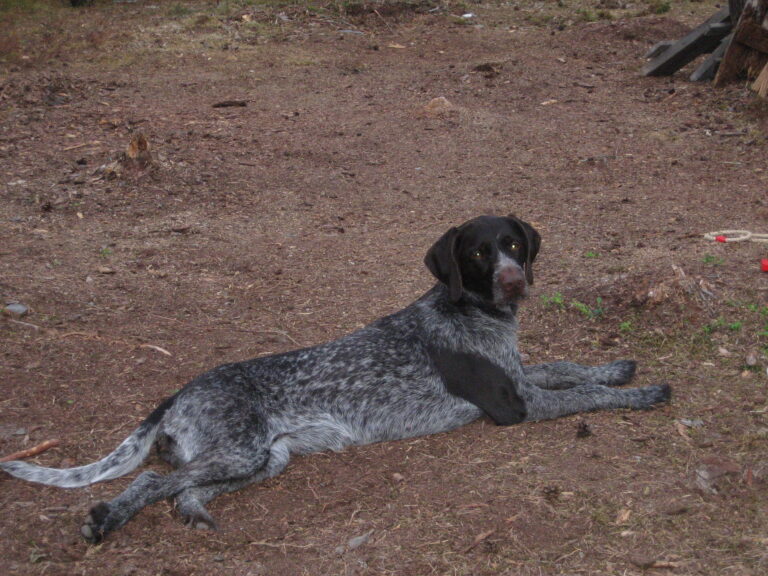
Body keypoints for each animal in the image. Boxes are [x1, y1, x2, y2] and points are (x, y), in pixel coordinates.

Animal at [0, 214, 668, 544]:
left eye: (513, 245)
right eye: (479, 253)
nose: (514, 283)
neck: (470, 312)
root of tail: (180, 392)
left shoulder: (521, 377)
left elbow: (569, 368)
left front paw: (619, 366)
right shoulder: (516, 403)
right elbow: (586, 394)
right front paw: (639, 393)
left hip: (263, 460)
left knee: (181, 489)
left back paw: (195, 515)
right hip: (240, 450)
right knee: (147, 484)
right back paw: (106, 519)